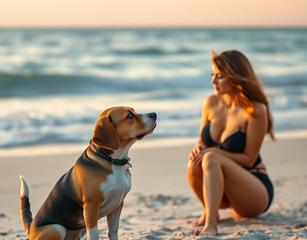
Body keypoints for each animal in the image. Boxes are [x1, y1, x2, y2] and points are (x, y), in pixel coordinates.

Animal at [19, 107, 158, 240]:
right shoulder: (90, 206)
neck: (113, 161)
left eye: (133, 111)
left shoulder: (117, 205)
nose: (154, 114)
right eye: (129, 116)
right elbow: (94, 235)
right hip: (57, 228)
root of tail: (30, 229)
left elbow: (113, 232)